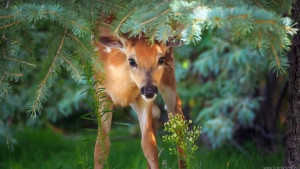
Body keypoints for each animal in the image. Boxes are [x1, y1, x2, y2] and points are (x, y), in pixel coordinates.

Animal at [93, 25, 185, 169]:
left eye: (161, 59)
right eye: (131, 60)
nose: (149, 91)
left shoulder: (142, 97)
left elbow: (149, 146)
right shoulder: (101, 92)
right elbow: (101, 147)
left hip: (168, 75)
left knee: (176, 114)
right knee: (157, 111)